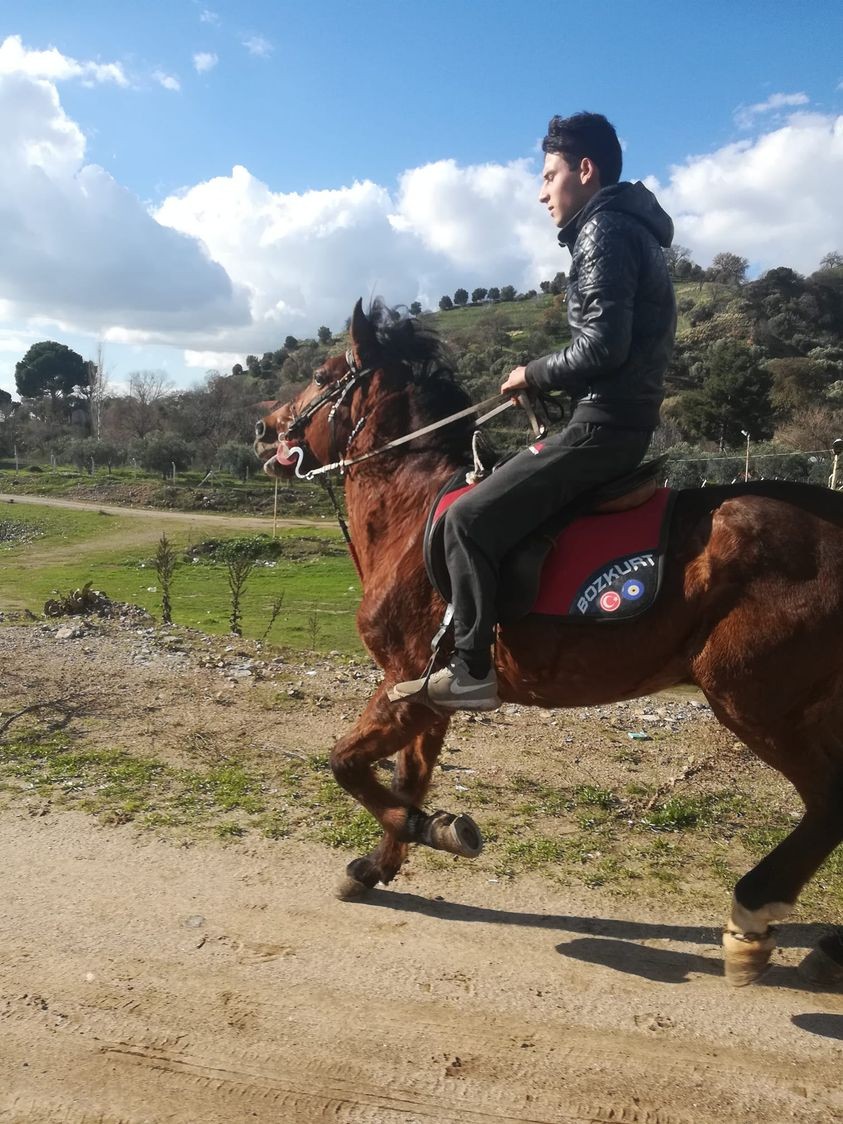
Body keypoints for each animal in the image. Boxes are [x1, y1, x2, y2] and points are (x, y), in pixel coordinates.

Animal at [257, 301, 843, 993]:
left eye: (323, 376)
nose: (263, 429)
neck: (413, 513)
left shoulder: (406, 685)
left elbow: (348, 765)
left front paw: (435, 830)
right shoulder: (428, 697)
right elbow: (407, 777)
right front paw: (379, 865)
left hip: (758, 702)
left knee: (829, 801)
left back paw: (752, 918)